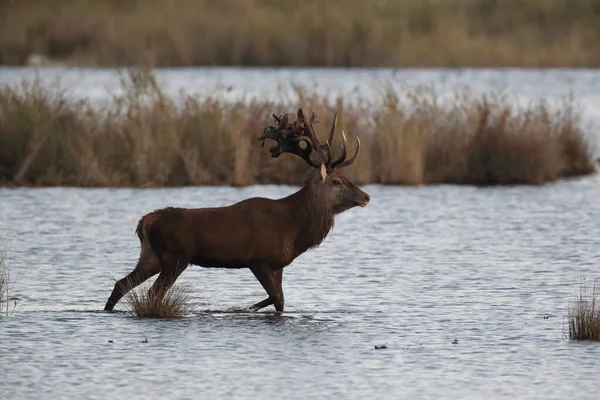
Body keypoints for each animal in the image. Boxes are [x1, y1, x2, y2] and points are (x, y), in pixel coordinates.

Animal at [104, 108, 370, 312]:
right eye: (336, 181)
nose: (366, 196)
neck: (294, 229)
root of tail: (145, 222)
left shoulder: (278, 264)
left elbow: (280, 301)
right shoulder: (257, 258)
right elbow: (276, 297)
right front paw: (243, 308)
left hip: (151, 257)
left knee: (121, 284)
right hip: (174, 257)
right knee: (152, 293)